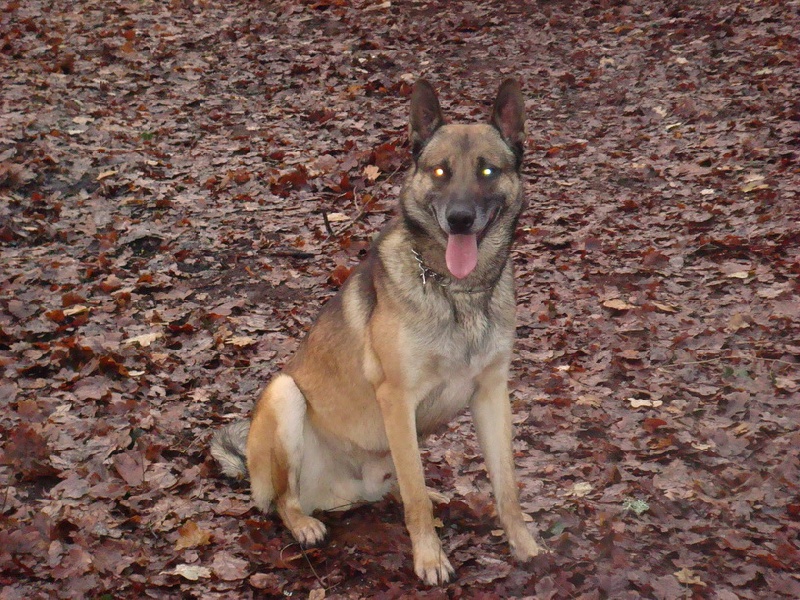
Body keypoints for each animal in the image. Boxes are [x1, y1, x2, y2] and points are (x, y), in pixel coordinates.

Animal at [209, 77, 540, 584]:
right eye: (440, 172)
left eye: (487, 170)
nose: (460, 219)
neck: (456, 291)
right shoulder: (397, 398)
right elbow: (417, 499)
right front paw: (430, 558)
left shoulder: (491, 394)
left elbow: (507, 486)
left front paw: (523, 545)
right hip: (285, 394)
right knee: (285, 500)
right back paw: (303, 523)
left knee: (401, 482)